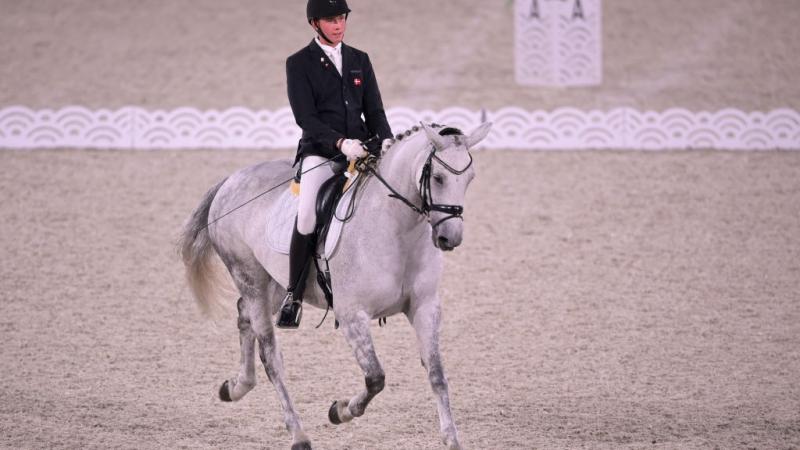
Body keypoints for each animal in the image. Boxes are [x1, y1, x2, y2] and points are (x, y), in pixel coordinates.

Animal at [180, 121, 490, 448]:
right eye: (439, 177)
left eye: (470, 178)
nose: (450, 237)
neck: (396, 228)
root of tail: (230, 181)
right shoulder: (352, 316)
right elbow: (376, 378)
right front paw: (340, 411)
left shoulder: (425, 307)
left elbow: (437, 374)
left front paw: (451, 439)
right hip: (249, 277)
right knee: (270, 355)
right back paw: (298, 434)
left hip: (273, 285)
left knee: (244, 315)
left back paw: (236, 386)